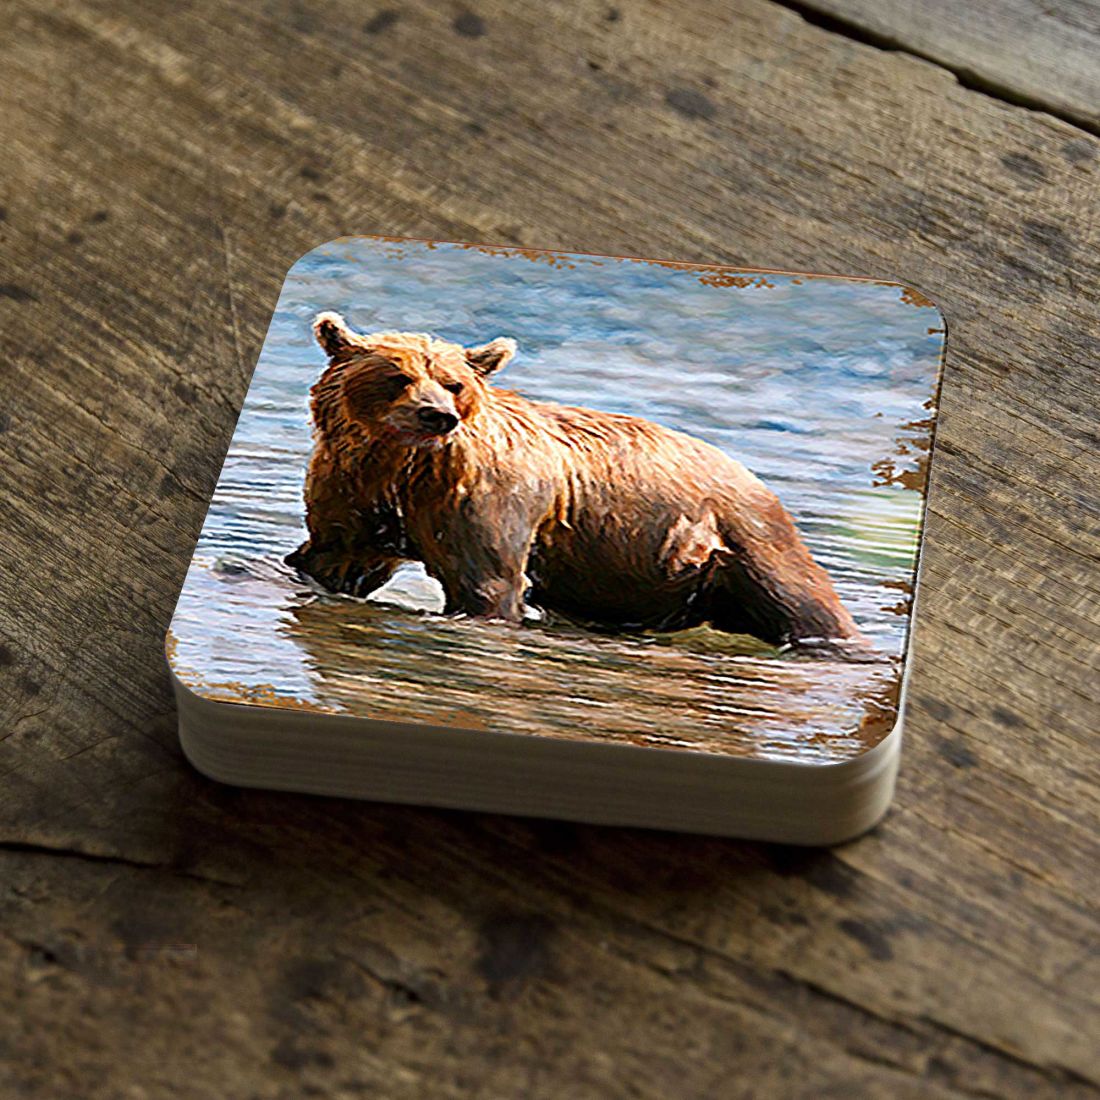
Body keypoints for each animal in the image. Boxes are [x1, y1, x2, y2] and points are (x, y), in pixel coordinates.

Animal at [285, 311, 864, 648]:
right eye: (398, 376)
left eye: (453, 383)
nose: (437, 416)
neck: (401, 465)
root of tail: (753, 476)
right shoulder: (354, 487)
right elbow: (336, 556)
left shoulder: (482, 497)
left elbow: (487, 582)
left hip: (741, 540)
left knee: (804, 605)